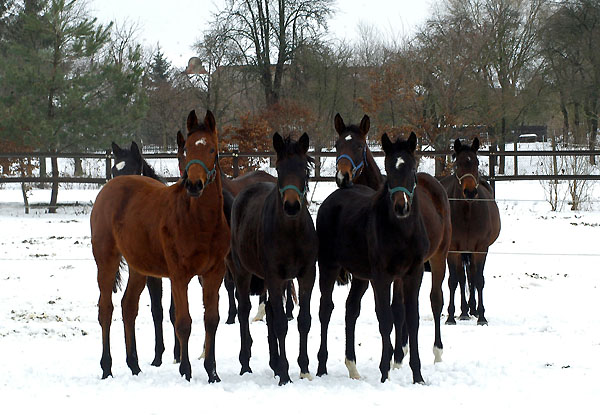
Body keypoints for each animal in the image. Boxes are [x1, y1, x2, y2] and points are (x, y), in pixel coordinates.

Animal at [91, 110, 230, 384]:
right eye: (186, 149)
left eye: (211, 149)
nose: (194, 185)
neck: (200, 221)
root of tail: (109, 189)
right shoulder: (179, 275)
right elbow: (183, 321)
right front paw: (185, 370)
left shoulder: (214, 274)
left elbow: (211, 319)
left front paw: (212, 372)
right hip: (106, 260)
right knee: (106, 309)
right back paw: (106, 367)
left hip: (139, 268)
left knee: (128, 306)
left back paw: (134, 366)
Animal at [226, 133, 318, 386]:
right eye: (279, 168)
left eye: (303, 168)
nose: (292, 205)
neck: (292, 233)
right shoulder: (275, 277)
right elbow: (280, 325)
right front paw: (285, 374)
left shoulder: (306, 275)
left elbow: (303, 320)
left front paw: (303, 368)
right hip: (243, 272)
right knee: (244, 311)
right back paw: (246, 364)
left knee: (268, 311)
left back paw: (274, 364)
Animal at [318, 132, 450, 384]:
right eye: (389, 167)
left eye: (412, 167)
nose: (401, 206)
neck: (401, 231)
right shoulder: (381, 277)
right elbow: (386, 318)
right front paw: (385, 371)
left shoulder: (413, 274)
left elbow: (411, 318)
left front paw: (417, 375)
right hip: (329, 267)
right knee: (325, 309)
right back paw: (320, 368)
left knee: (352, 309)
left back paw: (353, 367)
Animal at [438, 138, 500, 326]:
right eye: (458, 164)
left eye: (477, 162)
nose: (470, 191)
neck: (467, 212)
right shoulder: (453, 249)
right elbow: (453, 281)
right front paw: (451, 317)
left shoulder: (480, 249)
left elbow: (478, 280)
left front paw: (482, 317)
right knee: (462, 277)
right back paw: (464, 311)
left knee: (471, 275)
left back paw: (472, 309)